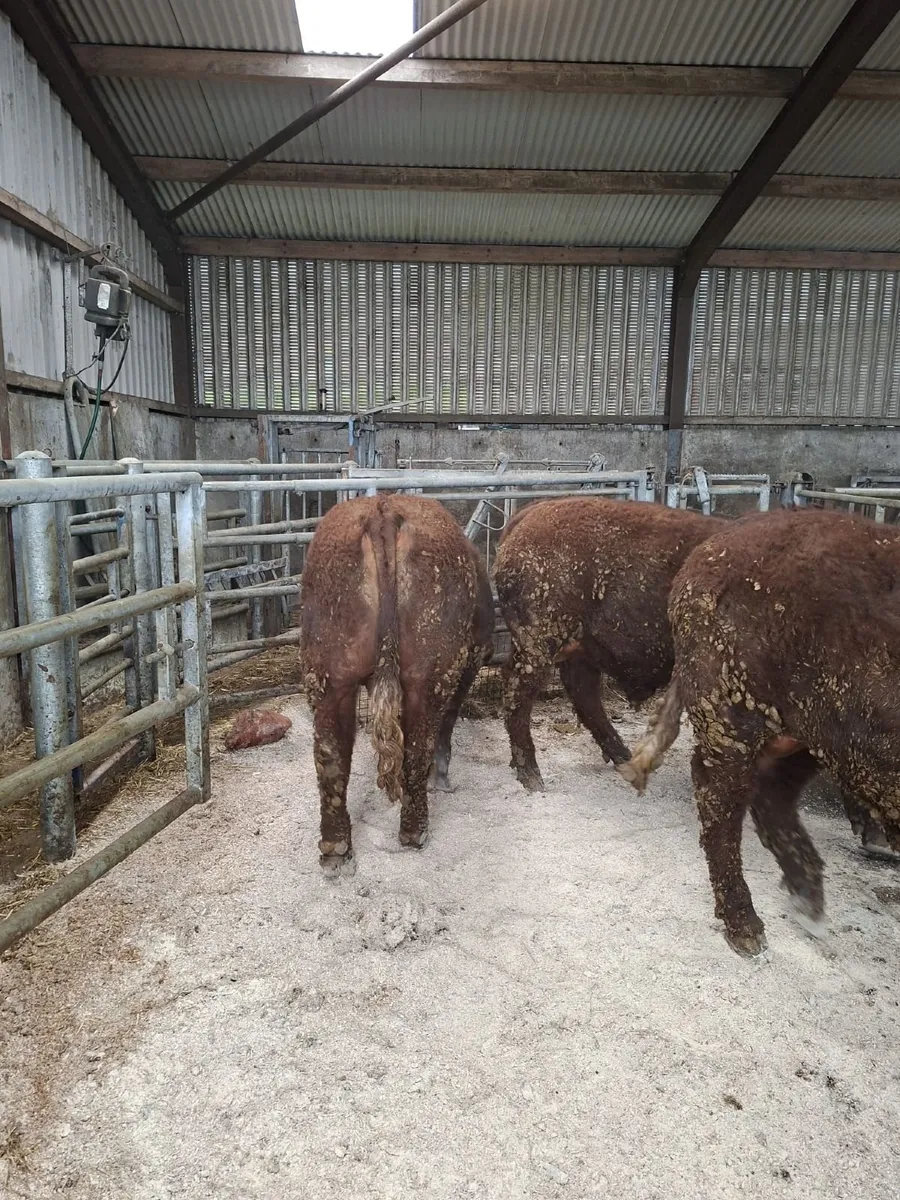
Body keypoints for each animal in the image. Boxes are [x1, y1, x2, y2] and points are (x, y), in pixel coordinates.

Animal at [300, 494, 494, 875]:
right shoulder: (470, 660)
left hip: (330, 674)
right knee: (418, 746)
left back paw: (335, 848)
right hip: (428, 673)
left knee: (330, 753)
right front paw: (442, 777)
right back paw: (415, 830)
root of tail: (383, 509)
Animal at [493, 496, 725, 792]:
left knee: (582, 691)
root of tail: (529, 514)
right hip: (540, 641)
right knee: (521, 689)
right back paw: (533, 778)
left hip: (578, 647)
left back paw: (622, 757)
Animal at [621, 508, 900, 956]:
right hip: (735, 712)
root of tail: (704, 554)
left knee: (770, 790)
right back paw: (748, 930)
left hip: (815, 732)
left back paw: (809, 904)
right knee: (720, 795)